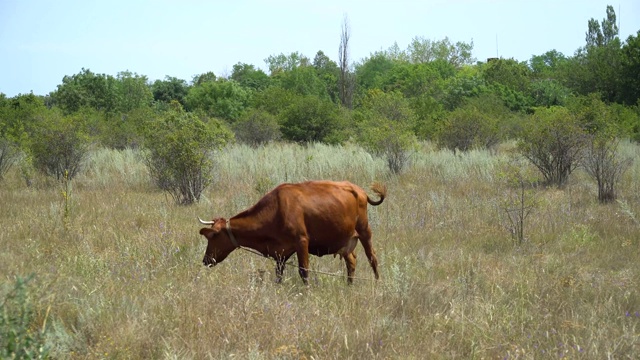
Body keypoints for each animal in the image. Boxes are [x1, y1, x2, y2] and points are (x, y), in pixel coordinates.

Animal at [198, 180, 388, 284]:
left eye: (213, 236)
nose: (205, 260)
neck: (276, 210)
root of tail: (359, 190)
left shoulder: (301, 242)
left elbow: (304, 271)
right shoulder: (281, 252)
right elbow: (278, 275)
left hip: (364, 231)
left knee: (372, 258)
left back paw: (377, 284)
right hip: (345, 240)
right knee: (352, 262)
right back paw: (349, 285)